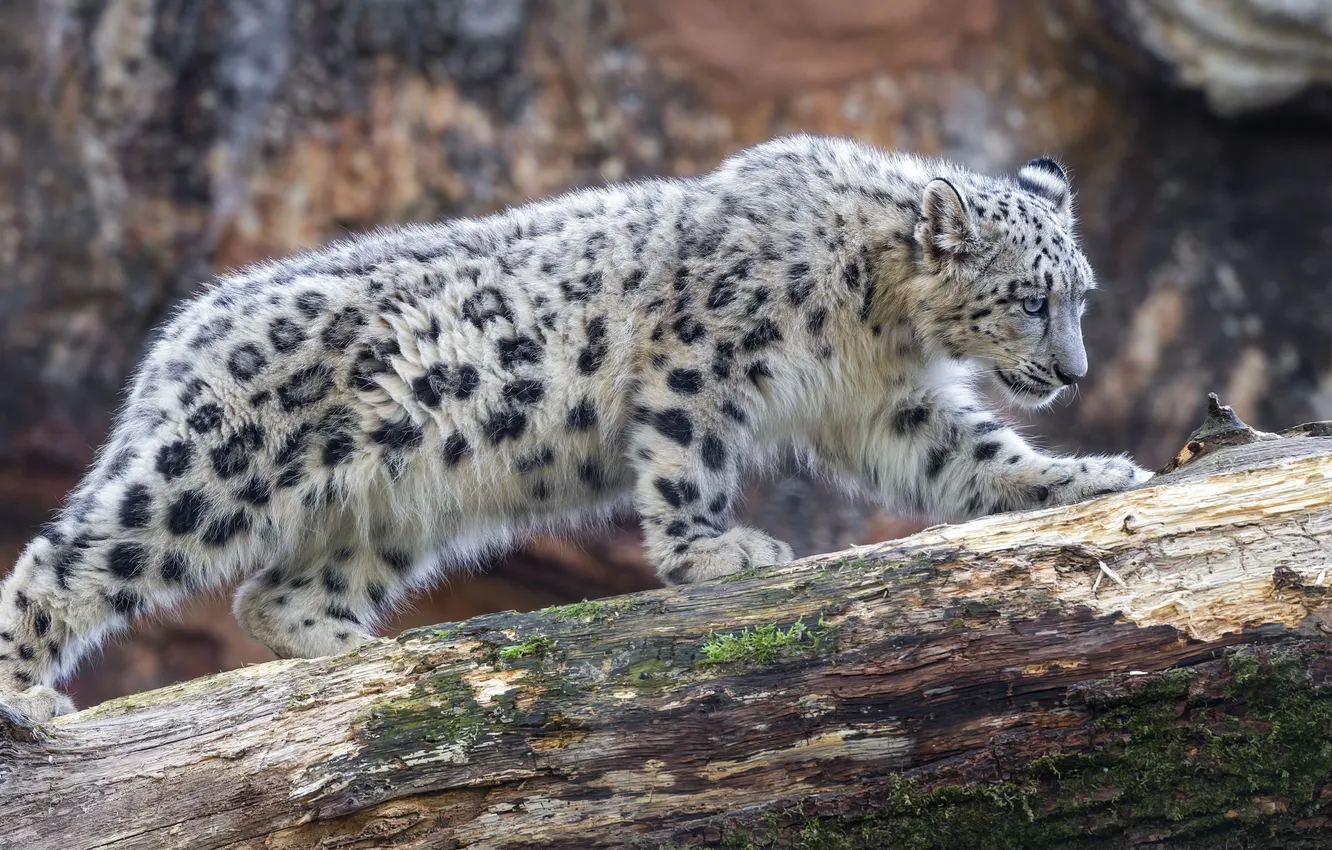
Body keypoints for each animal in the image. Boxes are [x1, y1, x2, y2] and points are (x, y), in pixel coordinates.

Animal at [0, 134, 1152, 722]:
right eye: (1030, 301)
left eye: (1082, 296)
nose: (1073, 373)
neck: (874, 323)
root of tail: (186, 327)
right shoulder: (702, 355)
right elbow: (687, 461)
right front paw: (714, 553)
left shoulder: (891, 407)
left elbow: (979, 460)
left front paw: (1096, 477)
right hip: (205, 474)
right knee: (67, 559)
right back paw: (28, 697)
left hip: (384, 512)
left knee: (272, 594)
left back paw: (364, 652)